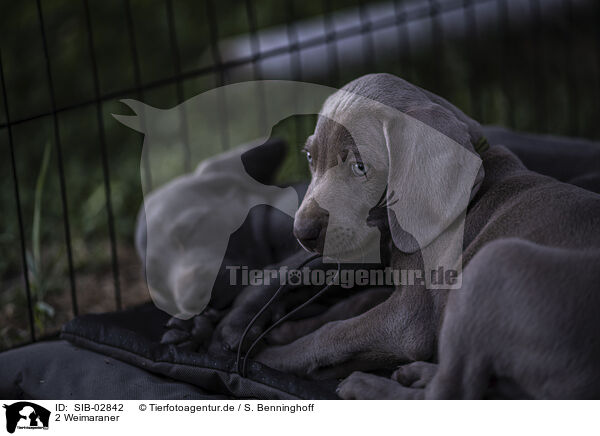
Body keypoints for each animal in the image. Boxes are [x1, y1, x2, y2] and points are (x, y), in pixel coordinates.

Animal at [253, 72, 600, 398]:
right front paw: (287, 330)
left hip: (496, 261)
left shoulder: (408, 320)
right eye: (310, 157)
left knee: (449, 392)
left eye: (360, 167)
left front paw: (270, 356)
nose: (302, 232)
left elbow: (333, 332)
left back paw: (366, 386)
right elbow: (355, 302)